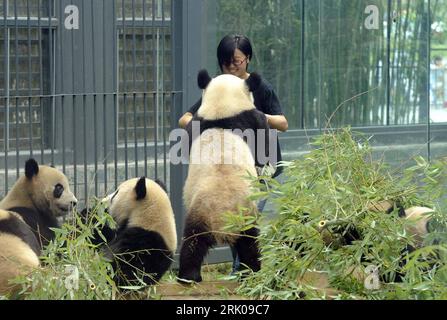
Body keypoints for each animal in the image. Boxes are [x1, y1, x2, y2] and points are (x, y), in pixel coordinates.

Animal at [178, 69, 270, 282]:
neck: (222, 109)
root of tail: (221, 222)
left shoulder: (197, 120)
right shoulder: (254, 120)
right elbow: (263, 147)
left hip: (202, 215)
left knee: (192, 244)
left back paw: (188, 276)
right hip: (242, 215)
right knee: (250, 244)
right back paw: (252, 272)